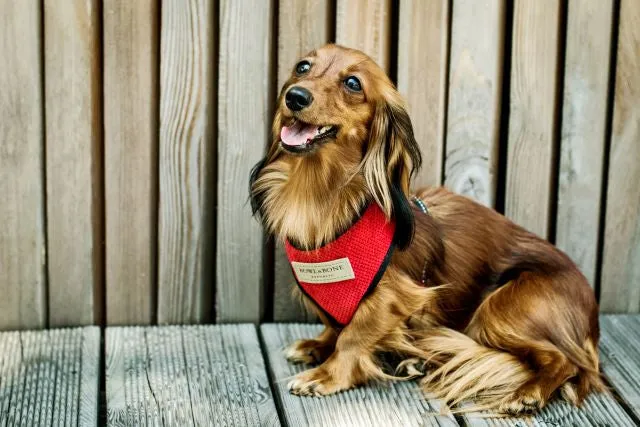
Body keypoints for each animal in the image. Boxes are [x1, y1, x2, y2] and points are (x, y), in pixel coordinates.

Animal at [248, 43, 604, 414]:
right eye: (302, 67)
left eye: (353, 83)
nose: (295, 96)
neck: (319, 195)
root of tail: (592, 314)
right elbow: (335, 326)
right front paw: (318, 345)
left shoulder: (394, 297)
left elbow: (352, 336)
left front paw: (327, 374)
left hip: (503, 307)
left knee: (564, 360)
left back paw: (528, 392)